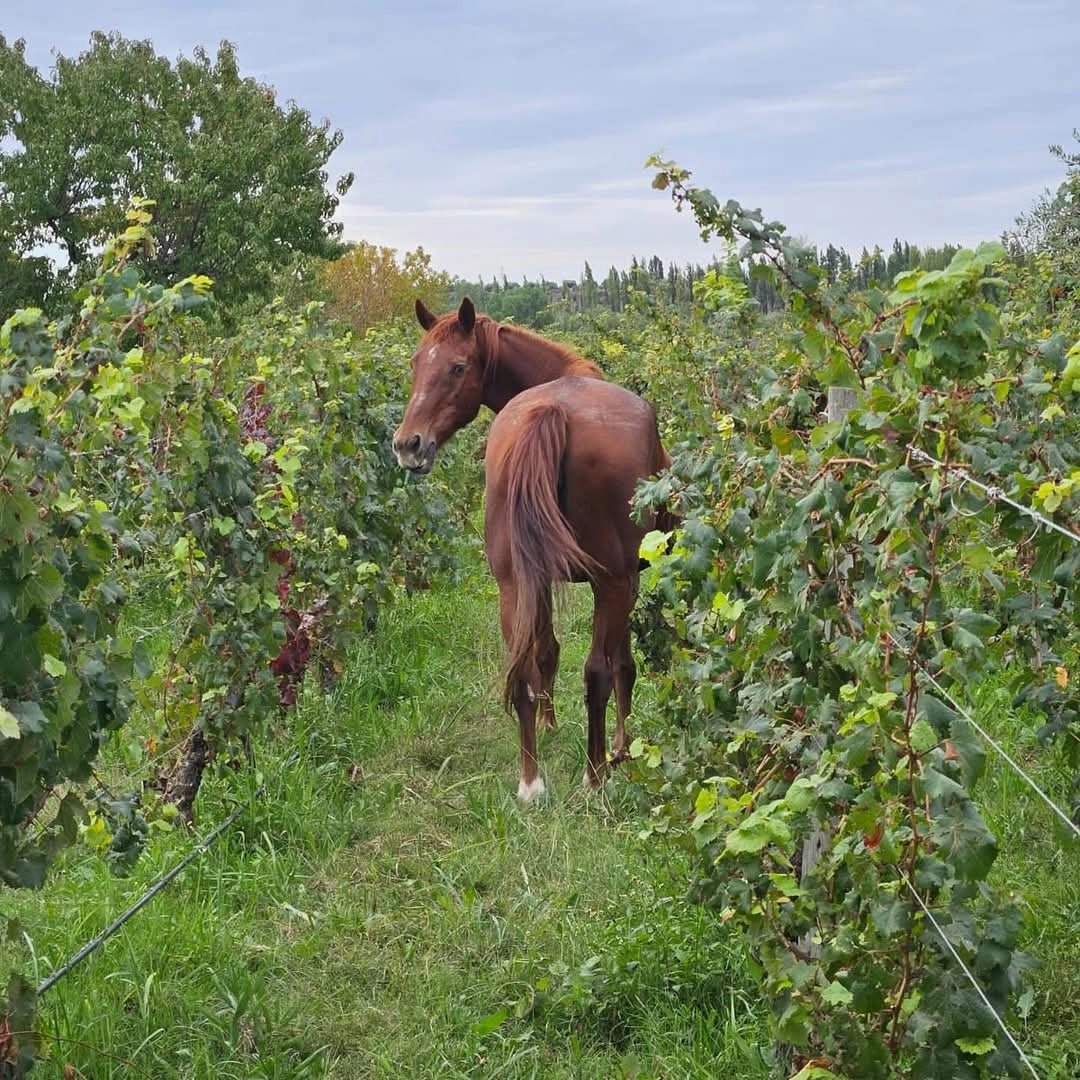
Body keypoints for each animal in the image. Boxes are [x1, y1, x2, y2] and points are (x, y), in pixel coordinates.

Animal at [393, 300, 669, 799]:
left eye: (457, 367)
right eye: (416, 364)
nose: (408, 445)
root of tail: (552, 409)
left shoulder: (537, 577)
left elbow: (544, 652)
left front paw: (548, 723)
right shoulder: (627, 579)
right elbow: (622, 664)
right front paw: (622, 748)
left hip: (513, 583)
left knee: (523, 670)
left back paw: (531, 783)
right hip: (610, 583)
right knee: (598, 671)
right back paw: (595, 774)